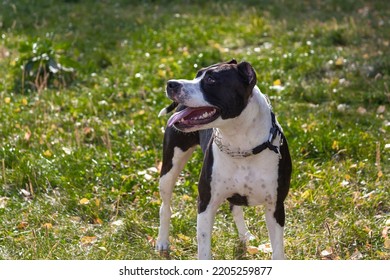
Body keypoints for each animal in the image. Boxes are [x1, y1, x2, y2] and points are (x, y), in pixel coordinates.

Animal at [155, 59, 292, 260]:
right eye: (197, 74)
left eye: (211, 79)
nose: (171, 84)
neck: (240, 146)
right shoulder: (206, 204)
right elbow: (204, 251)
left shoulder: (275, 206)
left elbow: (277, 250)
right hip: (169, 169)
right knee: (165, 206)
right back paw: (162, 241)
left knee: (235, 208)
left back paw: (245, 235)